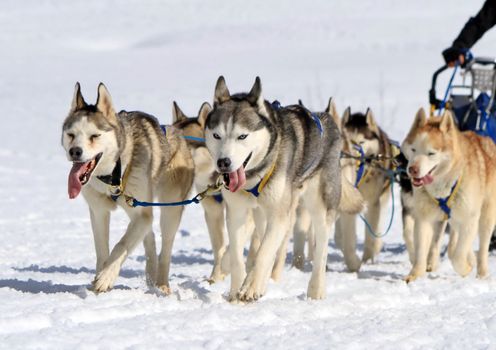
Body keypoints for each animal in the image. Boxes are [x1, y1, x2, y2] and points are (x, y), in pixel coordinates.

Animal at [60, 82, 194, 292]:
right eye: (71, 135)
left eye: (94, 135)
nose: (75, 151)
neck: (114, 174)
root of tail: (179, 135)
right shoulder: (98, 212)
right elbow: (102, 250)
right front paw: (99, 276)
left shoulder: (141, 213)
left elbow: (121, 245)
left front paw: (106, 277)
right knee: (149, 237)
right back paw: (151, 273)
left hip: (169, 211)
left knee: (165, 247)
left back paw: (161, 286)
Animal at [203, 76, 362, 300]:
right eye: (217, 135)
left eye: (242, 136)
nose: (223, 162)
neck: (255, 176)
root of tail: (327, 119)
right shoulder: (237, 213)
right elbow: (236, 255)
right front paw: (236, 290)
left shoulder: (279, 214)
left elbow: (264, 253)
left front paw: (250, 287)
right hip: (263, 214)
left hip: (320, 206)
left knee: (320, 249)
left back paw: (315, 289)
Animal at [402, 108, 496, 284]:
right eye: (413, 149)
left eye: (431, 153)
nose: (412, 170)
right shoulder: (424, 218)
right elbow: (421, 250)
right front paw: (415, 274)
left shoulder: (470, 218)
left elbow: (458, 256)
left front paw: (465, 268)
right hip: (452, 219)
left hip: (485, 217)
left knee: (481, 247)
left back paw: (481, 272)